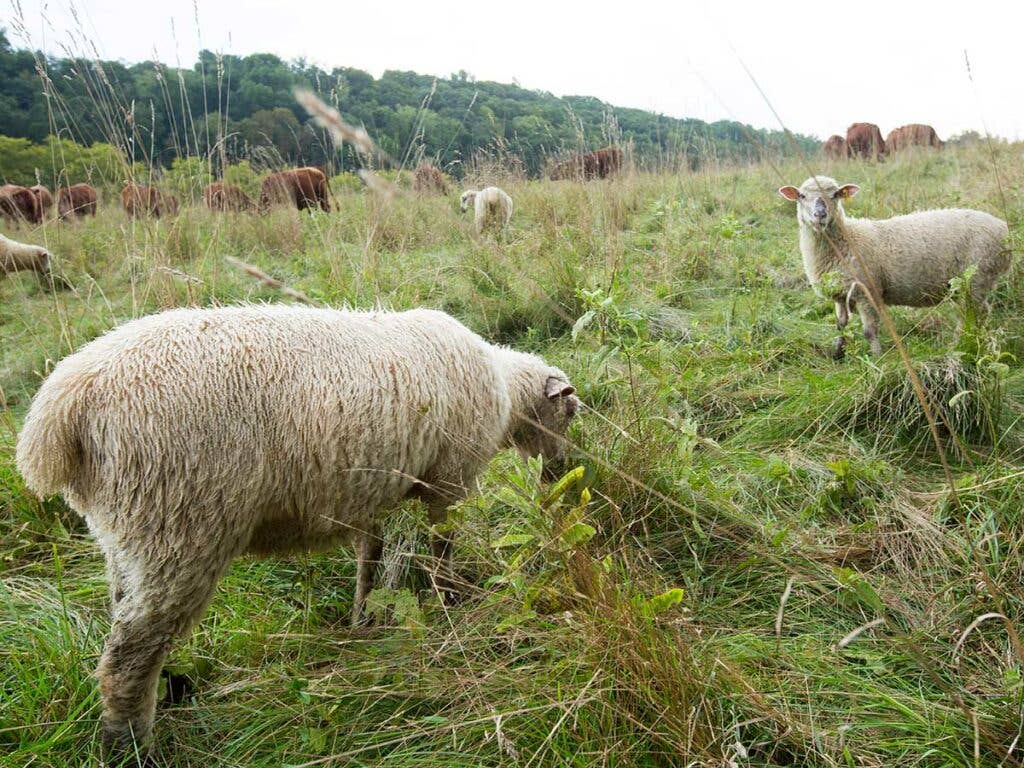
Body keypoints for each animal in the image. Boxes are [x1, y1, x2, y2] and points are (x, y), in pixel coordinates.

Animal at [16, 303, 581, 753]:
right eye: (569, 413)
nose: (559, 472)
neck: (504, 390)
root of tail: (61, 408)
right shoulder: (450, 483)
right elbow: (441, 550)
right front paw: (450, 603)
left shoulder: (369, 494)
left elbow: (371, 556)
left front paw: (362, 618)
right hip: (178, 526)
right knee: (129, 653)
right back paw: (130, 745)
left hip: (126, 531)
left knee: (126, 617)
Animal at [774, 176, 1007, 354]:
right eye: (802, 196)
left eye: (836, 195)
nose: (820, 215)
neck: (846, 240)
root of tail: (1003, 228)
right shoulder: (840, 294)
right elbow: (840, 326)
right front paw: (838, 353)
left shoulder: (867, 291)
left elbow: (869, 331)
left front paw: (877, 358)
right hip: (967, 284)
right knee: (979, 312)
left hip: (977, 278)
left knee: (972, 314)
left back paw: (958, 345)